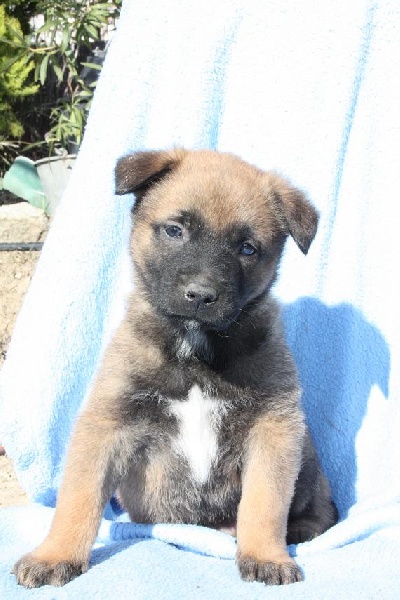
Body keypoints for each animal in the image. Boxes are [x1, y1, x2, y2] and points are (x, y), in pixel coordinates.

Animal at [13, 149, 337, 588]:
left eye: (248, 249)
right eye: (174, 230)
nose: (201, 295)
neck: (193, 348)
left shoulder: (274, 426)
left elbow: (265, 502)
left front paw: (266, 555)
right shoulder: (107, 422)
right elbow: (78, 498)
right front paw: (55, 554)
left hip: (305, 449)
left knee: (322, 504)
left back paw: (299, 529)